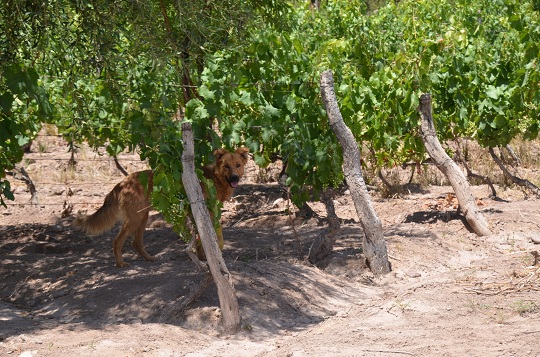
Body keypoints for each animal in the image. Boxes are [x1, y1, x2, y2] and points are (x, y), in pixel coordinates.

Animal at [74, 146, 249, 266]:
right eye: (226, 166)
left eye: (238, 165)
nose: (235, 177)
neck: (215, 179)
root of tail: (123, 182)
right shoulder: (201, 214)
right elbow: (206, 240)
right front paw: (205, 260)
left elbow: (213, 239)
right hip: (134, 219)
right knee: (117, 241)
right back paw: (120, 263)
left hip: (142, 217)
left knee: (136, 242)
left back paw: (150, 258)